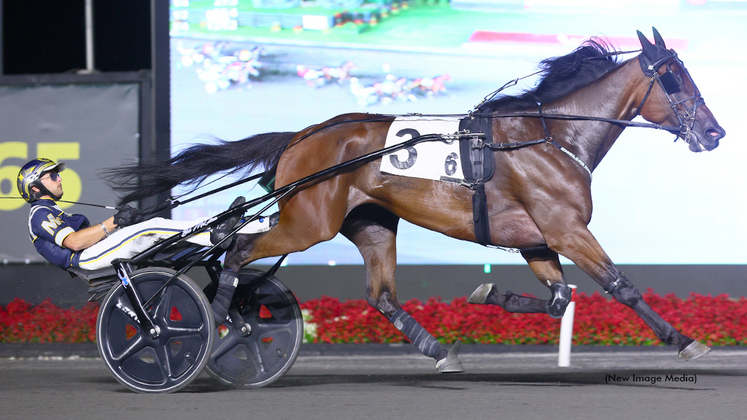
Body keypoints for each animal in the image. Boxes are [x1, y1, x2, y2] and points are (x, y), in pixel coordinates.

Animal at [108, 28, 728, 370]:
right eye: (675, 79)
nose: (715, 132)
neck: (550, 136)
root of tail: (301, 137)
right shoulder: (566, 229)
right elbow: (620, 285)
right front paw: (684, 340)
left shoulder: (536, 238)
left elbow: (557, 299)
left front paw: (487, 291)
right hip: (308, 222)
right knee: (233, 248)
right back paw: (210, 322)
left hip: (372, 223)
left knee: (380, 294)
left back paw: (437, 349)